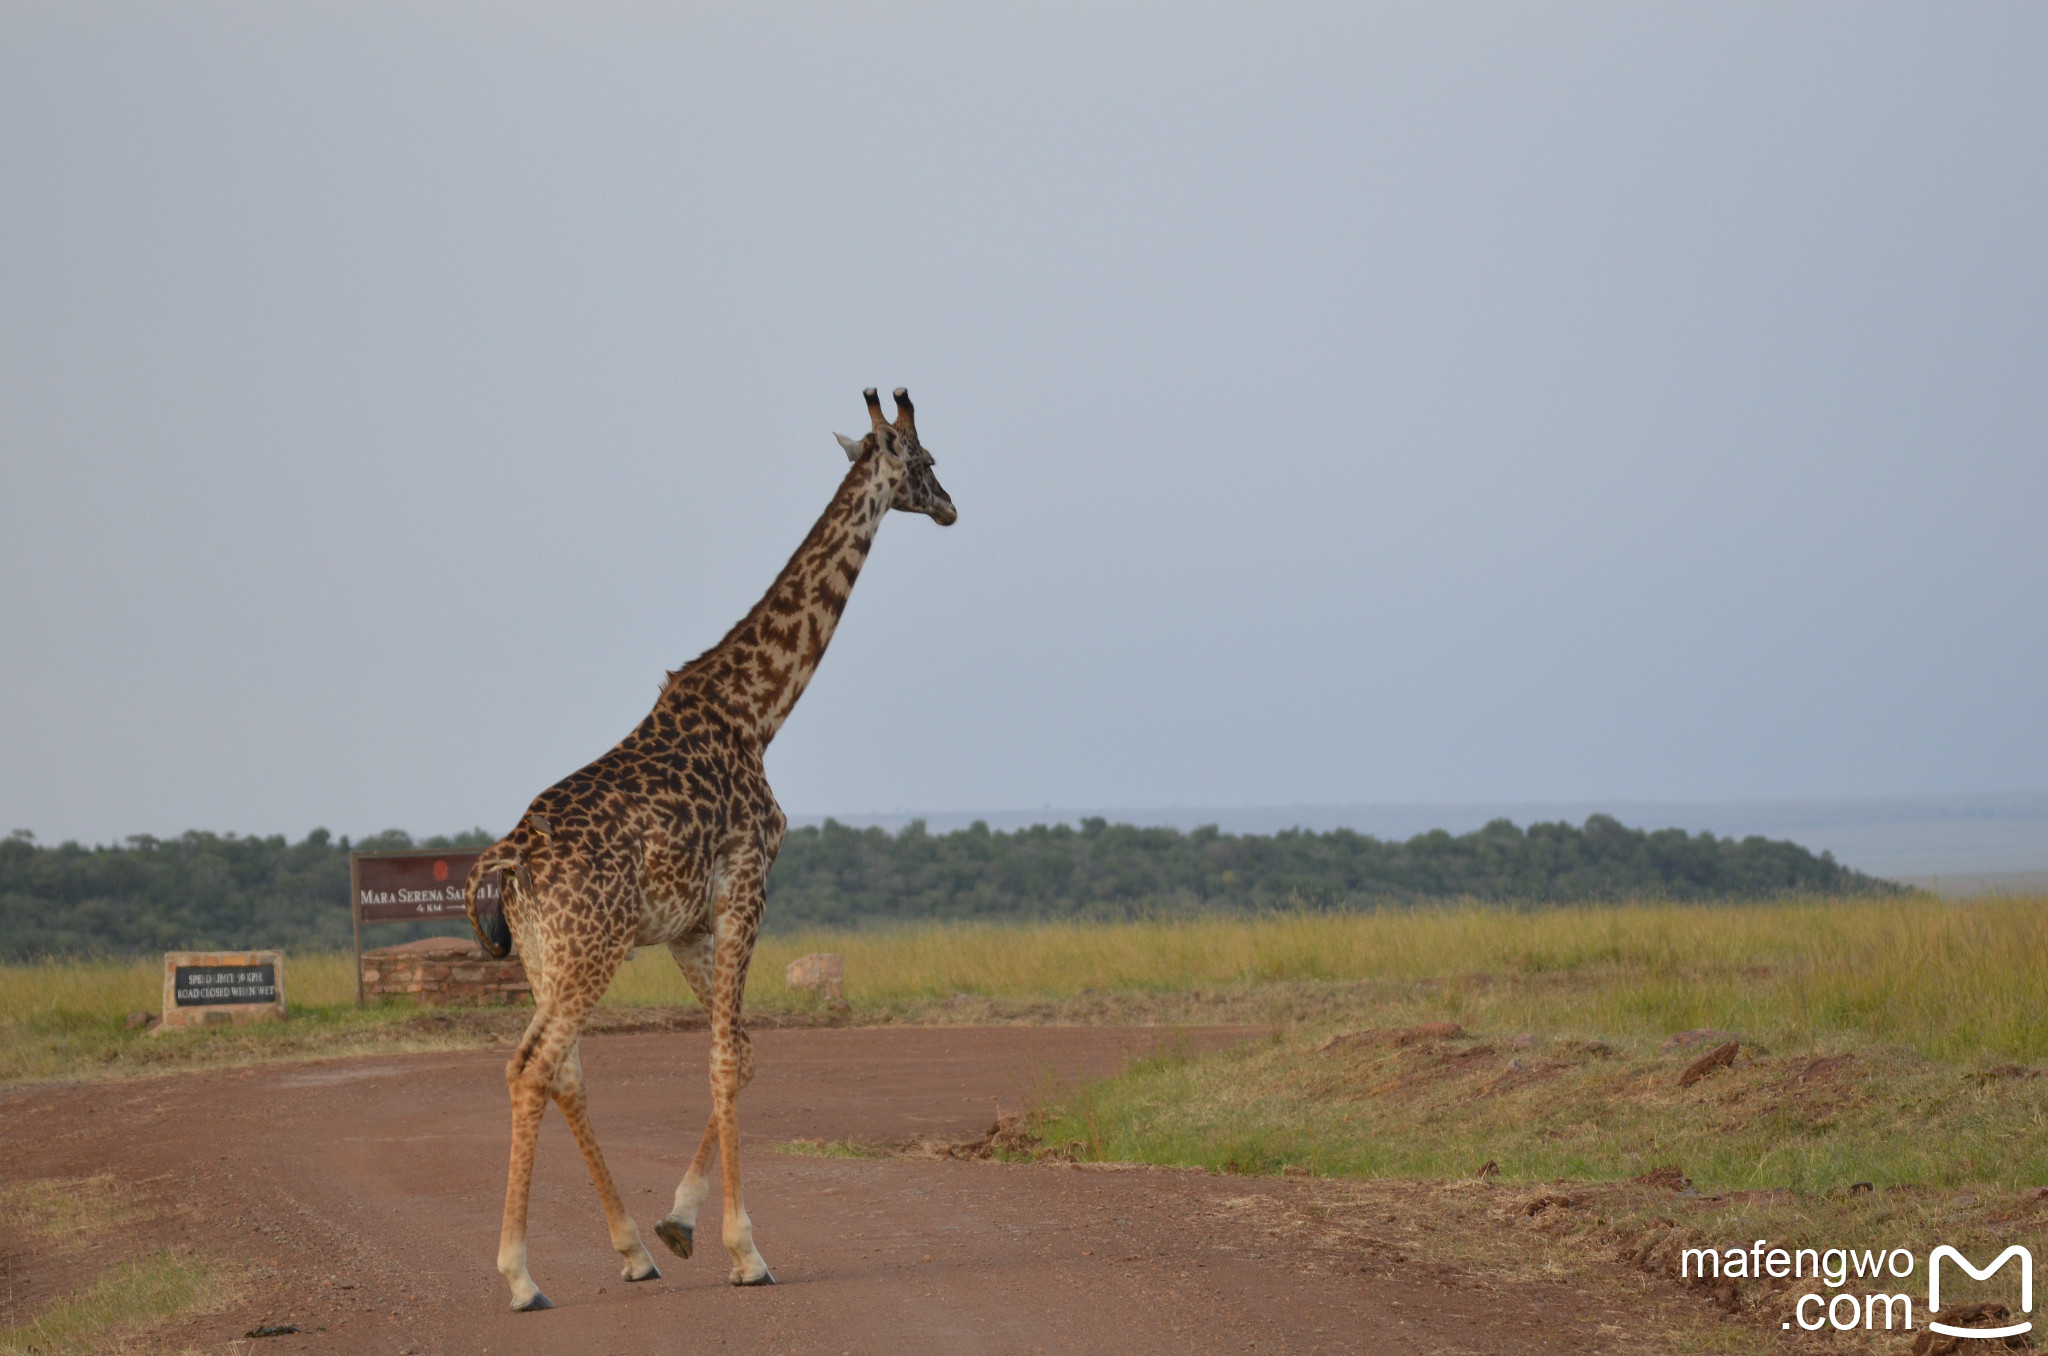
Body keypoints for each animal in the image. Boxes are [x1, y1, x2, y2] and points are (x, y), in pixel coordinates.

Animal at [460, 387, 954, 1310]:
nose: (951, 507)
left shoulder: (690, 923)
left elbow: (747, 1053)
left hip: (546, 954)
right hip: (590, 947)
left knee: (563, 1069)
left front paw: (678, 1226)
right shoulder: (748, 881)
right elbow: (726, 1059)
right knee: (530, 1065)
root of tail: (509, 861)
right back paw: (520, 1275)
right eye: (928, 459)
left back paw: (629, 1251)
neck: (758, 711)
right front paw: (744, 1250)